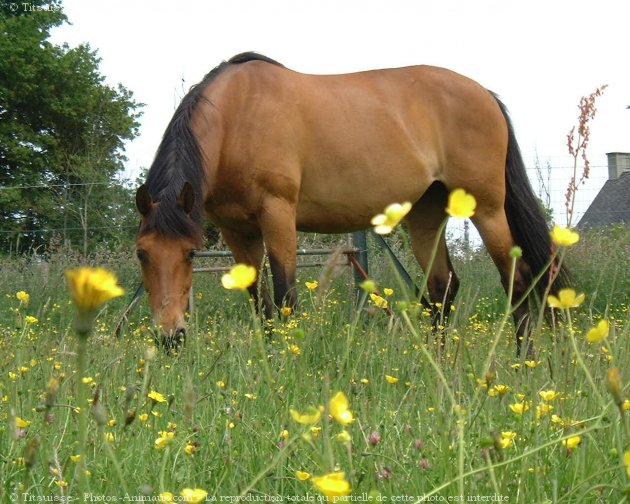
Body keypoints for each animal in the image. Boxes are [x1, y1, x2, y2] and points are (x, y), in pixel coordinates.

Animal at [136, 51, 572, 350]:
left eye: (191, 253)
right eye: (142, 253)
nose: (170, 335)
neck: (236, 116)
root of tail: (485, 94)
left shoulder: (277, 213)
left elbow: (285, 296)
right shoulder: (236, 230)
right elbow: (260, 304)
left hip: (488, 208)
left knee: (517, 280)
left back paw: (523, 364)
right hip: (427, 215)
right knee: (442, 288)